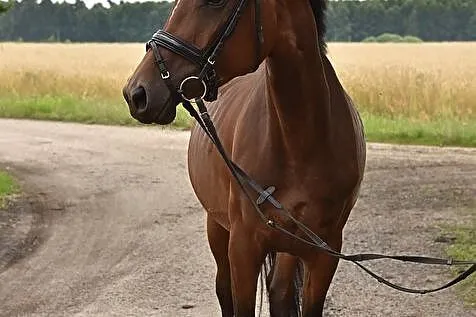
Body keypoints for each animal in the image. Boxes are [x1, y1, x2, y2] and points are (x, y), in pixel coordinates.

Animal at [122, 1, 364, 314]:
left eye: (215, 3)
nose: (137, 93)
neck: (300, 143)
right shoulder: (243, 248)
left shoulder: (325, 254)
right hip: (217, 228)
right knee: (224, 289)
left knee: (279, 292)